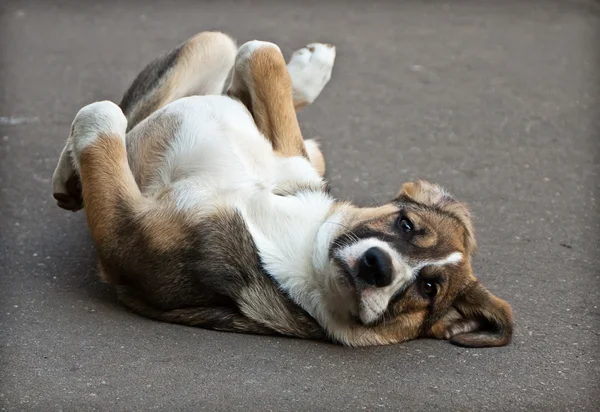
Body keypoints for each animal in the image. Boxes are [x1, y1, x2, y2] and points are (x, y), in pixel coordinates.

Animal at [51, 33, 512, 348]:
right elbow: (265, 54)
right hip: (213, 46)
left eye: (428, 289)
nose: (378, 267)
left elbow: (101, 115)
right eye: (406, 223)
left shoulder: (122, 240)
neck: (301, 247)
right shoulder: (292, 165)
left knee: (124, 114)